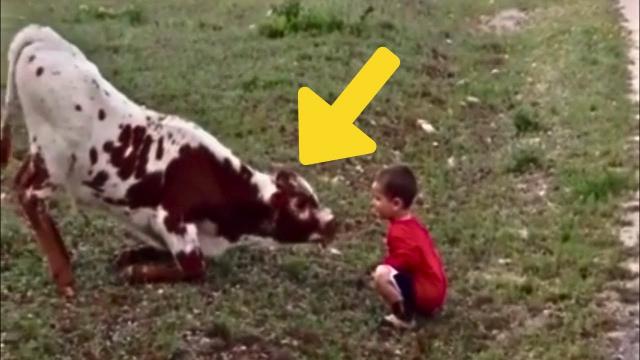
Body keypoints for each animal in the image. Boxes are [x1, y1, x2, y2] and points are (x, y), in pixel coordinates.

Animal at [0, 23, 338, 296]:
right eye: (301, 204)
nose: (332, 221)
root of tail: (47, 38)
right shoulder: (173, 218)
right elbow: (195, 267)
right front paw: (135, 271)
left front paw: (130, 257)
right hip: (54, 156)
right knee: (28, 193)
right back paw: (65, 275)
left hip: (42, 154)